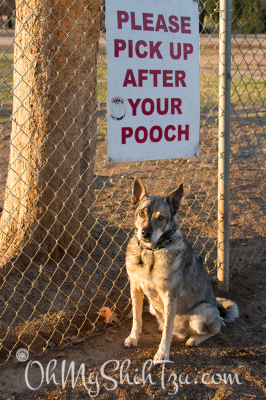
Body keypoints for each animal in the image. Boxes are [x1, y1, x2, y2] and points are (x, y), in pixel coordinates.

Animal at [124, 180, 239, 364]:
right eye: (141, 213)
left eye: (161, 218)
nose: (145, 233)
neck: (152, 252)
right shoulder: (135, 288)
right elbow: (136, 318)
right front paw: (133, 338)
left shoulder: (170, 297)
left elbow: (167, 332)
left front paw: (162, 354)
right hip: (153, 307)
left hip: (200, 312)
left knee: (216, 329)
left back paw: (194, 339)